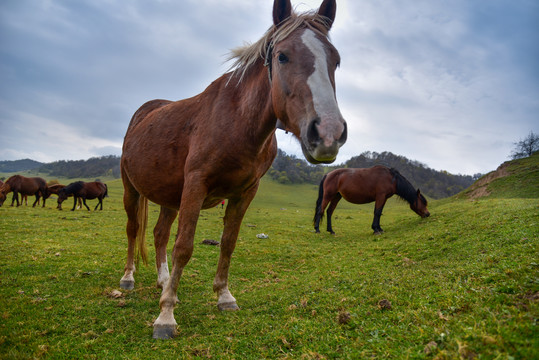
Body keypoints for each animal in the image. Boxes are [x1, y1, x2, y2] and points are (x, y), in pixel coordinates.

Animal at [120, 0, 348, 338]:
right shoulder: (196, 185)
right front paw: (166, 316)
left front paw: (224, 296)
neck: (238, 122)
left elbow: (228, 243)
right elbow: (184, 247)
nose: (328, 134)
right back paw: (129, 278)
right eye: (282, 56)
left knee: (160, 234)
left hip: (170, 197)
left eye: (335, 60)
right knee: (133, 230)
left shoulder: (245, 192)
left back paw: (162, 281)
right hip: (131, 190)